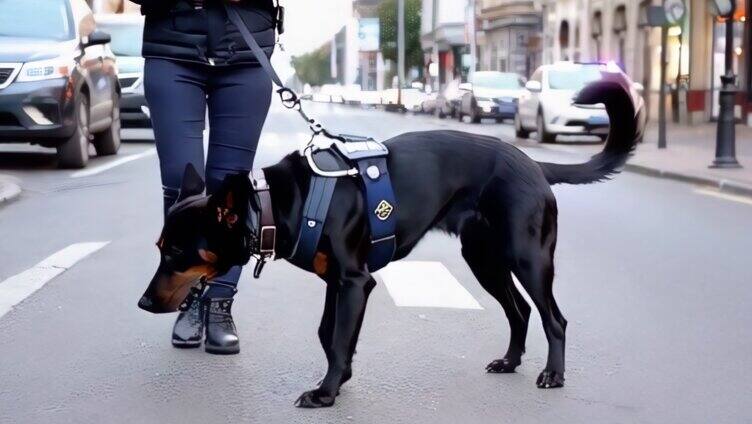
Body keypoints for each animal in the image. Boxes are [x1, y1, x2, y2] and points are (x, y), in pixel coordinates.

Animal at [138, 77, 644, 408]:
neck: (277, 201)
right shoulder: (337, 282)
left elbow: (338, 337)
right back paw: (509, 361)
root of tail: (533, 163)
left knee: (553, 318)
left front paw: (326, 393)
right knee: (518, 311)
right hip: (483, 259)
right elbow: (328, 334)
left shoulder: (354, 282)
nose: (143, 304)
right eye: (159, 249)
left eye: (178, 253)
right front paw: (340, 380)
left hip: (528, 259)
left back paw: (553, 374)